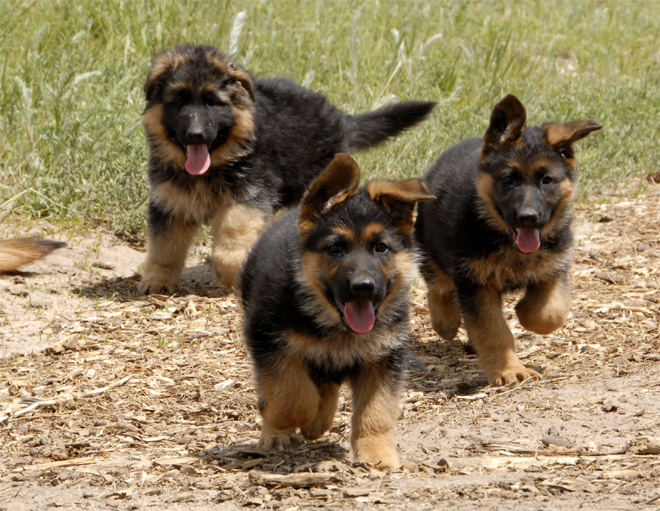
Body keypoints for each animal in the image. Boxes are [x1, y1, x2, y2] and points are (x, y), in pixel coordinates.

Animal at [137, 45, 436, 294]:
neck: (220, 161)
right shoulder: (171, 203)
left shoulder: (248, 197)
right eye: (179, 102)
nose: (195, 135)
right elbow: (165, 246)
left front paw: (233, 273)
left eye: (212, 102)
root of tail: (340, 120)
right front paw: (158, 280)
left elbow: (230, 242)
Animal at [240, 152, 436, 468]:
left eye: (381, 248)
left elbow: (377, 412)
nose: (363, 287)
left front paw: (377, 455)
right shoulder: (267, 341)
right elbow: (291, 400)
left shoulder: (383, 358)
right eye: (335, 248)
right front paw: (280, 417)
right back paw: (276, 433)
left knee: (326, 385)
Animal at [418, 94, 604, 386]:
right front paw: (509, 370)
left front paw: (523, 309)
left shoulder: (554, 267)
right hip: (431, 246)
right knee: (439, 285)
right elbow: (493, 331)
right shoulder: (476, 283)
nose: (528, 218)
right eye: (508, 179)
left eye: (547, 180)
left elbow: (549, 312)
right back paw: (445, 320)